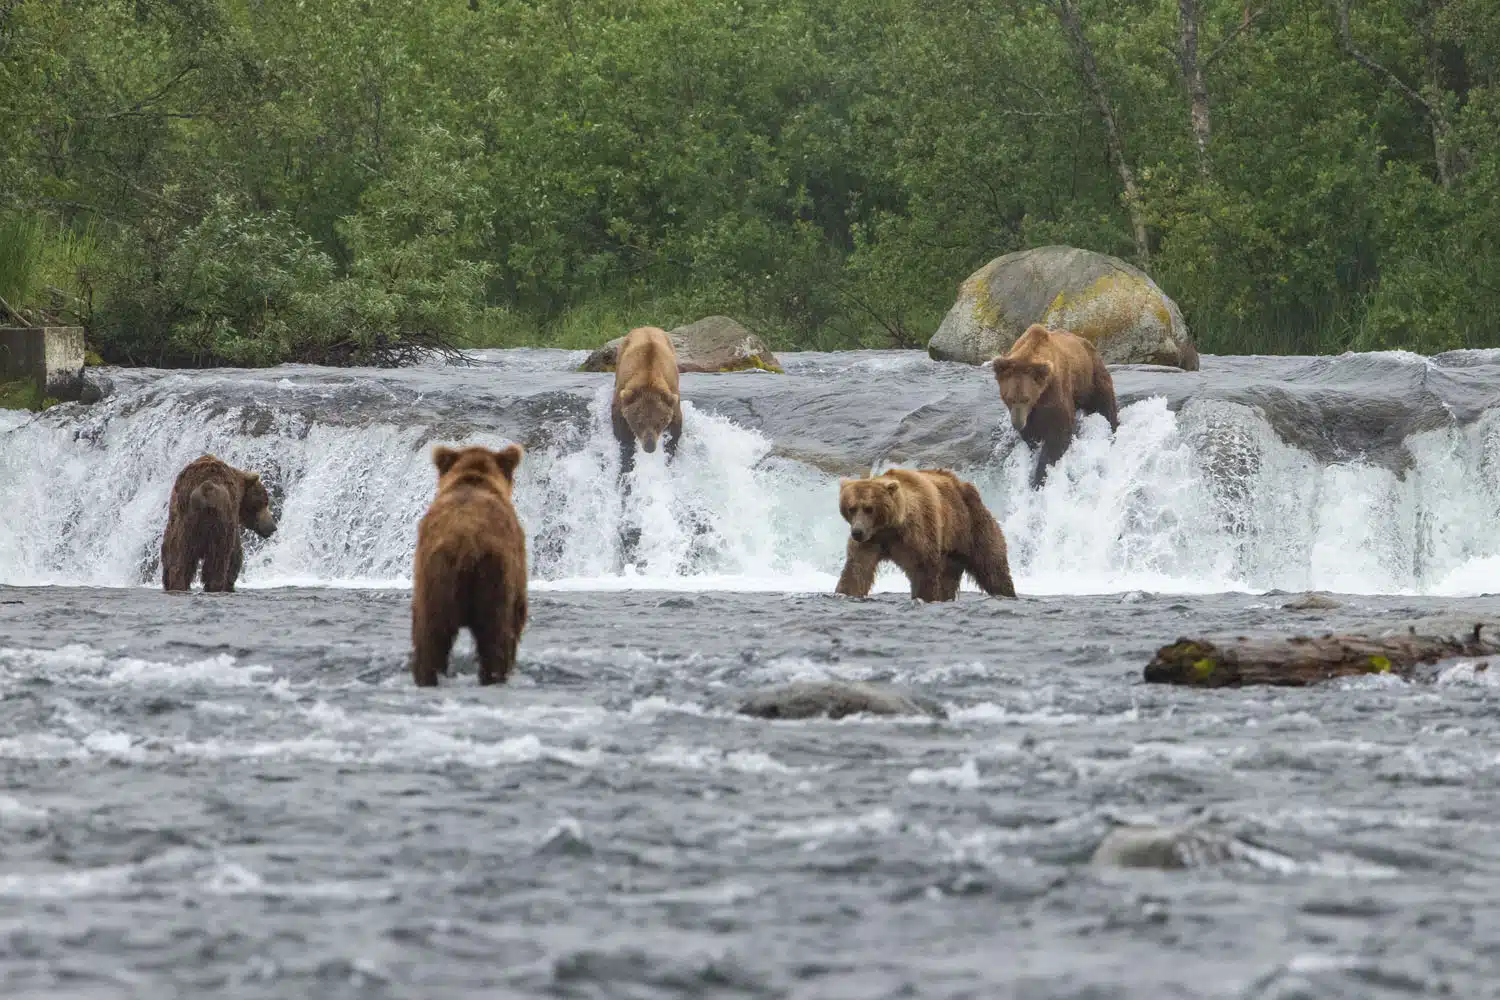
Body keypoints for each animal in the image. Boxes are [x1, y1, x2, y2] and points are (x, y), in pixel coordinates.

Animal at [162, 455, 280, 593]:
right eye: (265, 502)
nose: (273, 527)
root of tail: (204, 489)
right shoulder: (233, 514)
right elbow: (235, 552)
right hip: (218, 521)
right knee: (218, 557)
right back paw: (215, 585)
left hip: (181, 523)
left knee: (178, 559)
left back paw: (177, 585)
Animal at [411, 446, 528, 689]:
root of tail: (466, 543)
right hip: (493, 576)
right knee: (496, 636)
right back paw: (494, 677)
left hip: (435, 575)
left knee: (430, 636)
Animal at [609, 325, 687, 473]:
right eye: (639, 423)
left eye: (659, 422)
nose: (650, 447)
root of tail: (646, 327)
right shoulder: (623, 392)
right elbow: (620, 424)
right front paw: (627, 452)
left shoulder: (671, 393)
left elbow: (676, 425)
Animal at [834, 470, 1020, 602]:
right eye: (851, 508)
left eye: (869, 508)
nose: (857, 532)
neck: (892, 527)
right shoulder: (872, 540)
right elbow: (857, 569)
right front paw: (844, 593)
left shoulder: (918, 532)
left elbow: (923, 569)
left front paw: (924, 597)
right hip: (951, 553)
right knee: (948, 579)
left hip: (972, 526)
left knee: (992, 566)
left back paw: (1006, 593)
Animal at [990, 325, 1122, 488]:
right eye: (1009, 399)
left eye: (1026, 399)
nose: (1017, 423)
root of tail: (1085, 341)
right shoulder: (1032, 411)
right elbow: (1032, 432)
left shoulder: (1054, 390)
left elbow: (1059, 432)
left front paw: (1040, 475)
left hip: (1090, 376)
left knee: (1104, 403)